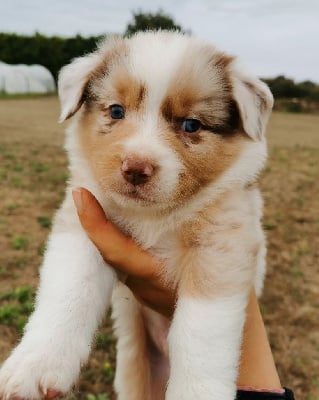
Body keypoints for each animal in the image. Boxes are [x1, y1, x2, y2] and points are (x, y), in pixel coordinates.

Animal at [0, 32, 274, 400]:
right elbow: (70, 291)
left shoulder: (220, 244)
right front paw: (35, 364)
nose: (135, 168)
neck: (152, 217)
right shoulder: (83, 227)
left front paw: (195, 390)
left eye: (191, 125)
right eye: (116, 110)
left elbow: (200, 332)